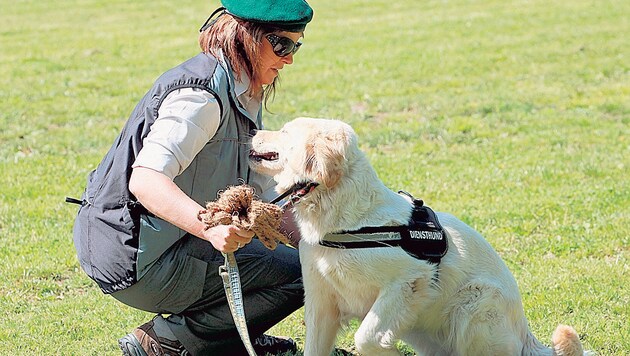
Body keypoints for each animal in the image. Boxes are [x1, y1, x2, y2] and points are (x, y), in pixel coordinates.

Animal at [249, 118, 592, 354]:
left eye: (286, 131)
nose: (253, 131)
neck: (347, 220)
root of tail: (525, 335)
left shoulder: (408, 280)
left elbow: (366, 336)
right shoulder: (321, 303)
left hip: (473, 305)